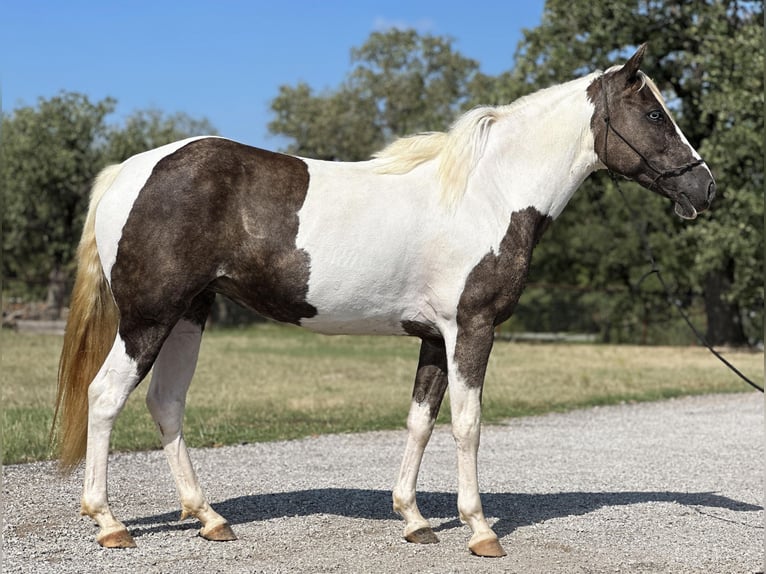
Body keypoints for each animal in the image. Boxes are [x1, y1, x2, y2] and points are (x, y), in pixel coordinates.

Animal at [55, 45, 720, 560]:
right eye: (655, 113)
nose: (704, 186)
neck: (488, 194)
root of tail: (131, 171)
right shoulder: (471, 329)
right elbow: (468, 424)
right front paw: (480, 530)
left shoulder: (432, 338)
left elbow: (421, 421)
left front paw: (415, 520)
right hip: (149, 318)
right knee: (106, 396)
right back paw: (109, 522)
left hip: (189, 315)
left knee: (166, 404)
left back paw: (209, 518)